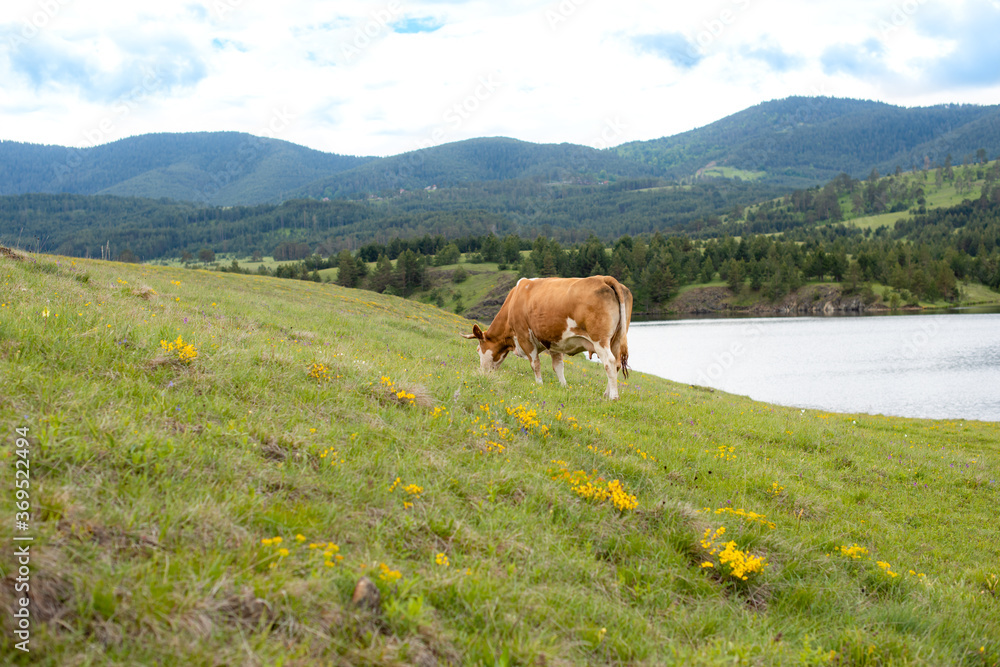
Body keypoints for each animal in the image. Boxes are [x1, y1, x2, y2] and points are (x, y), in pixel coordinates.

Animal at [461, 275, 632, 399]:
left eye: (478, 350)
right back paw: (606, 393)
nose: (481, 373)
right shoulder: (555, 342)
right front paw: (564, 386)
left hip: (600, 340)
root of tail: (604, 278)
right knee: (617, 364)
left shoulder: (525, 337)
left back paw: (613, 396)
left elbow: (535, 364)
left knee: (609, 362)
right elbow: (558, 366)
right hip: (616, 339)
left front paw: (539, 384)